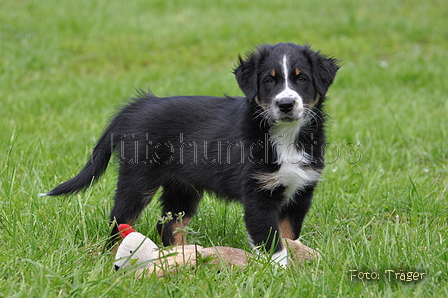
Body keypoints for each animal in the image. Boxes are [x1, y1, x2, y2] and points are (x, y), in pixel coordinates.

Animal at [45, 42, 340, 266]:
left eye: (302, 79)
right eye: (269, 80)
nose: (286, 104)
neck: (286, 136)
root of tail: (140, 105)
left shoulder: (301, 190)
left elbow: (289, 235)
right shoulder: (259, 193)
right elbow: (272, 242)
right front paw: (278, 272)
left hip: (182, 187)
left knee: (169, 225)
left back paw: (181, 256)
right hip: (137, 179)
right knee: (120, 220)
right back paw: (111, 257)